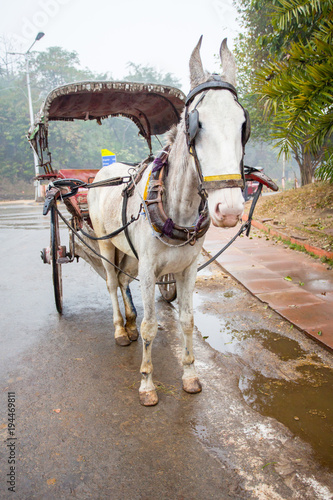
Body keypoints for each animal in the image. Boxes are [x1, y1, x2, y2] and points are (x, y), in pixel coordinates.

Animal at [87, 39, 246, 406]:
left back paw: (129, 323)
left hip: (128, 252)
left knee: (122, 281)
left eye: (243, 124)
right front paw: (147, 383)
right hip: (106, 242)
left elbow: (187, 320)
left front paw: (190, 375)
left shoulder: (187, 268)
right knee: (112, 284)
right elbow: (151, 326)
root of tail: (103, 171)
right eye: (195, 124)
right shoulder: (148, 269)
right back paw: (121, 328)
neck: (178, 209)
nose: (230, 209)